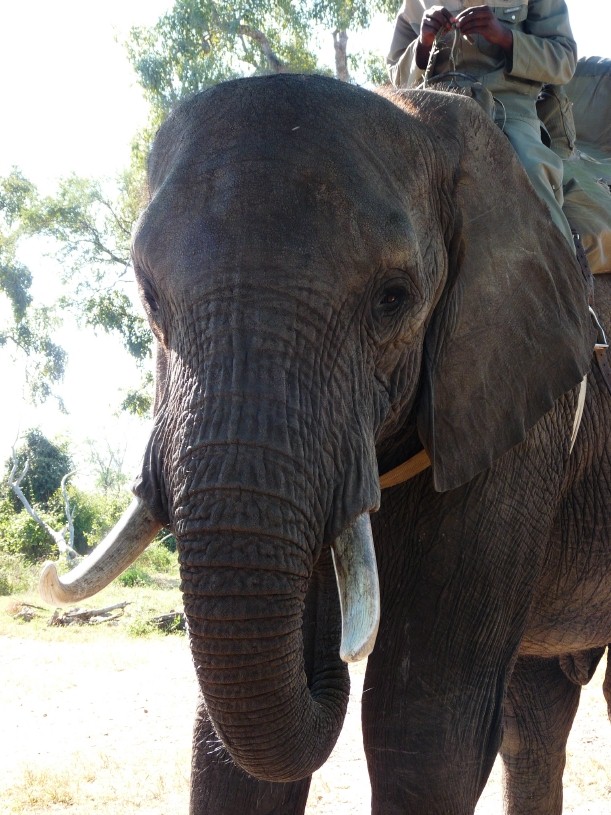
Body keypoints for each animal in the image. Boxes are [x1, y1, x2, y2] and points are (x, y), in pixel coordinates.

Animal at [40, 74, 611, 814]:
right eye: (149, 298)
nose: (329, 657)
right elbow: (226, 753)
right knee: (535, 711)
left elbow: (422, 723)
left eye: (393, 298)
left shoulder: (516, 401)